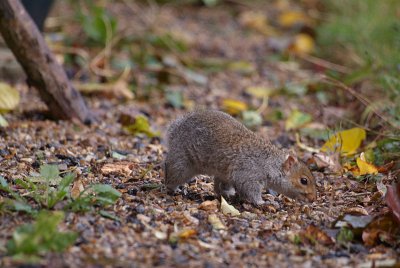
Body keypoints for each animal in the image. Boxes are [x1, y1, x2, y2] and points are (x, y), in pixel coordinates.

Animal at [164, 109, 318, 205]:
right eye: (304, 180)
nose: (313, 198)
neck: (270, 163)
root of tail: (174, 129)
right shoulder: (249, 174)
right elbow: (250, 190)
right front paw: (263, 202)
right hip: (183, 164)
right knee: (172, 174)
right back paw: (174, 188)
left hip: (222, 172)